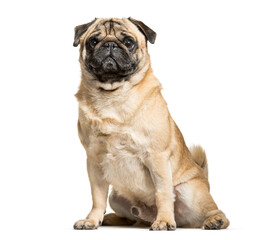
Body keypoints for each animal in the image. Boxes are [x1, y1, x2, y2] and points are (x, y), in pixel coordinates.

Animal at [72, 17, 229, 231]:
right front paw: (92, 220)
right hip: (116, 198)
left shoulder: (157, 157)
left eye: (129, 42)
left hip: (192, 193)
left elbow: (163, 193)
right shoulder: (94, 161)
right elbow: (97, 198)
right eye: (93, 42)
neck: (113, 95)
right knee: (132, 217)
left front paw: (164, 221)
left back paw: (213, 221)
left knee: (215, 212)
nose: (110, 44)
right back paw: (111, 218)